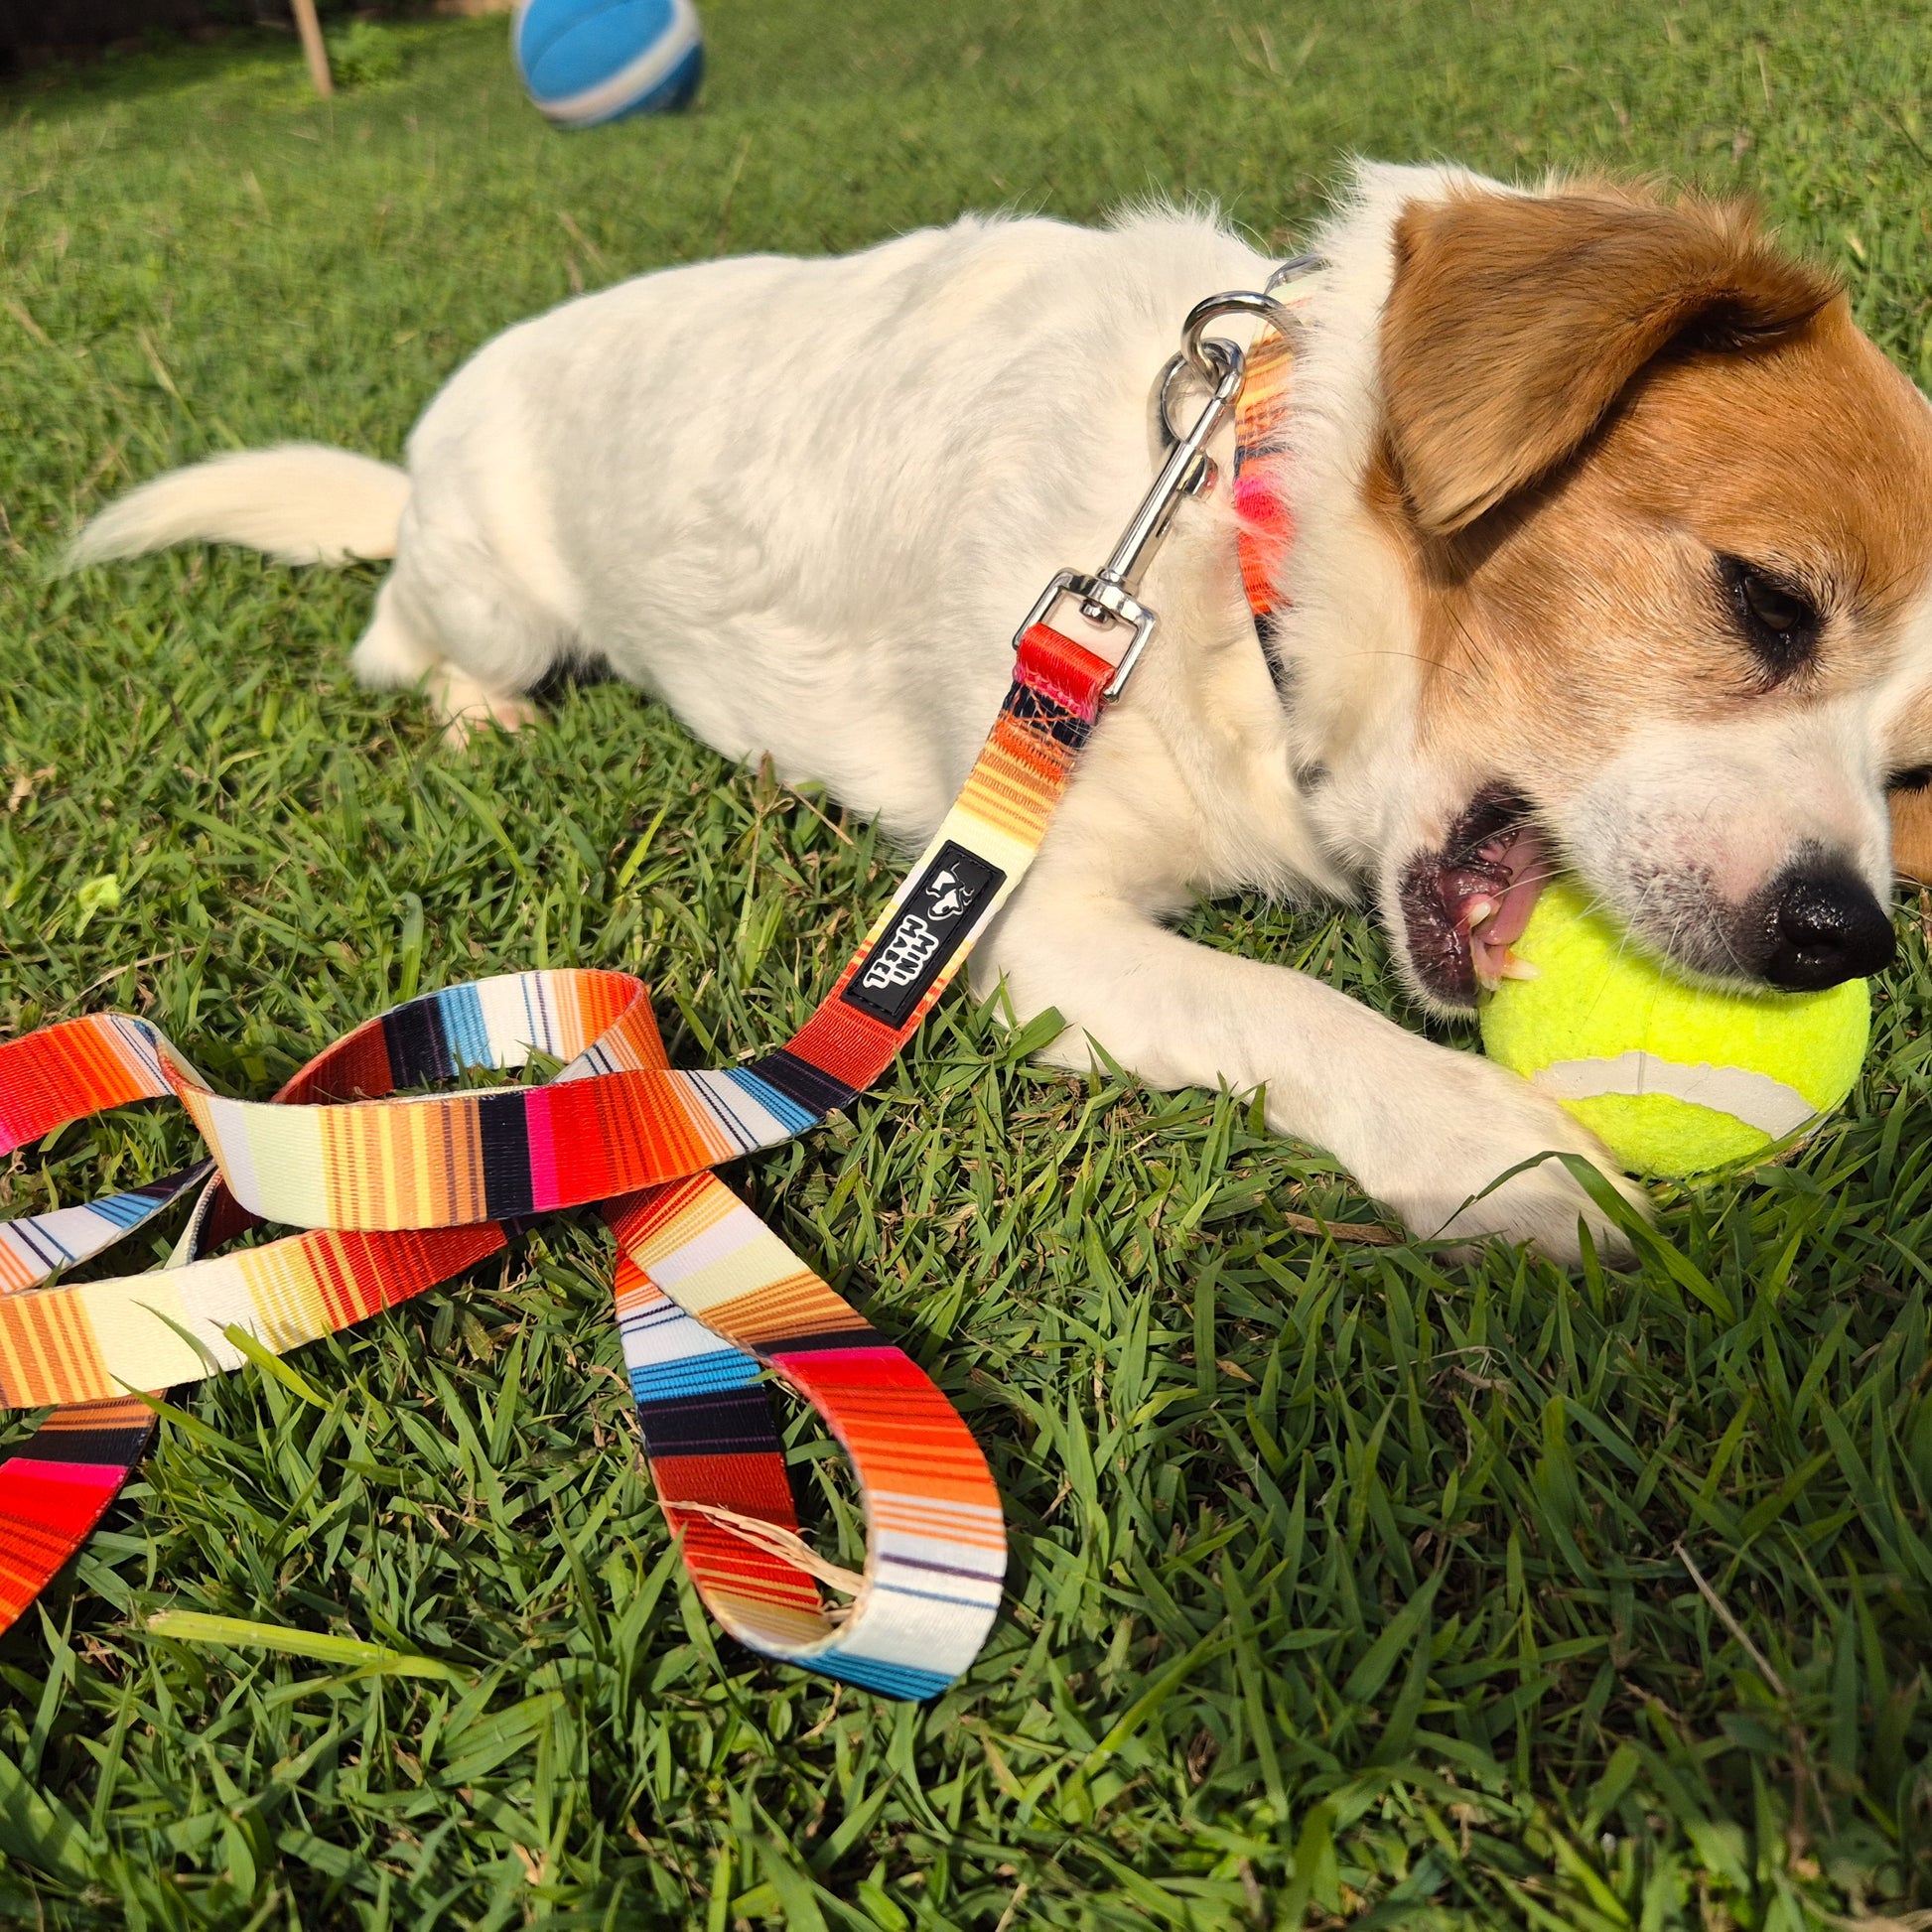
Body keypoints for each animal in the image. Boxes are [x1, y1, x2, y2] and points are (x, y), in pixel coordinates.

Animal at [68, 162, 1932, 1252]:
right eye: (1766, 600)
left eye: (1911, 769)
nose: (1839, 936)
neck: (1225, 543)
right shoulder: (1027, 914)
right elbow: (1293, 1010)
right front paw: (1496, 1147)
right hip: (495, 597)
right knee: (400, 640)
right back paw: (475, 717)